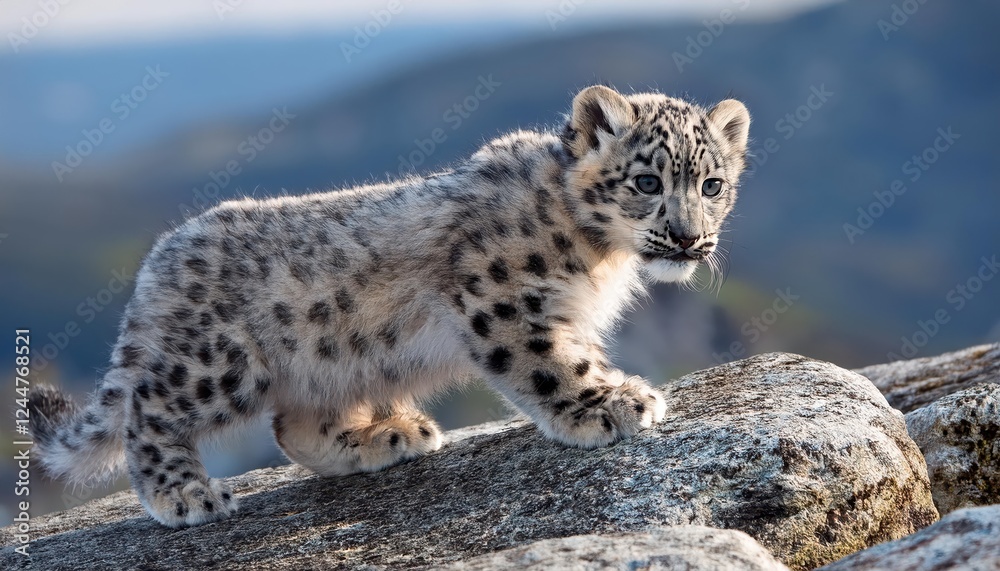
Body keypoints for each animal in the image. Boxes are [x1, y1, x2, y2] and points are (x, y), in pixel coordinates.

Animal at [29, 85, 750, 527]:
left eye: (713, 184)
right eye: (647, 181)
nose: (689, 237)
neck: (601, 258)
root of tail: (159, 261)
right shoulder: (505, 299)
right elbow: (551, 360)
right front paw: (611, 401)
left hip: (325, 365)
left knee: (290, 425)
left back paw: (385, 435)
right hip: (215, 362)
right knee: (148, 409)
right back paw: (185, 492)